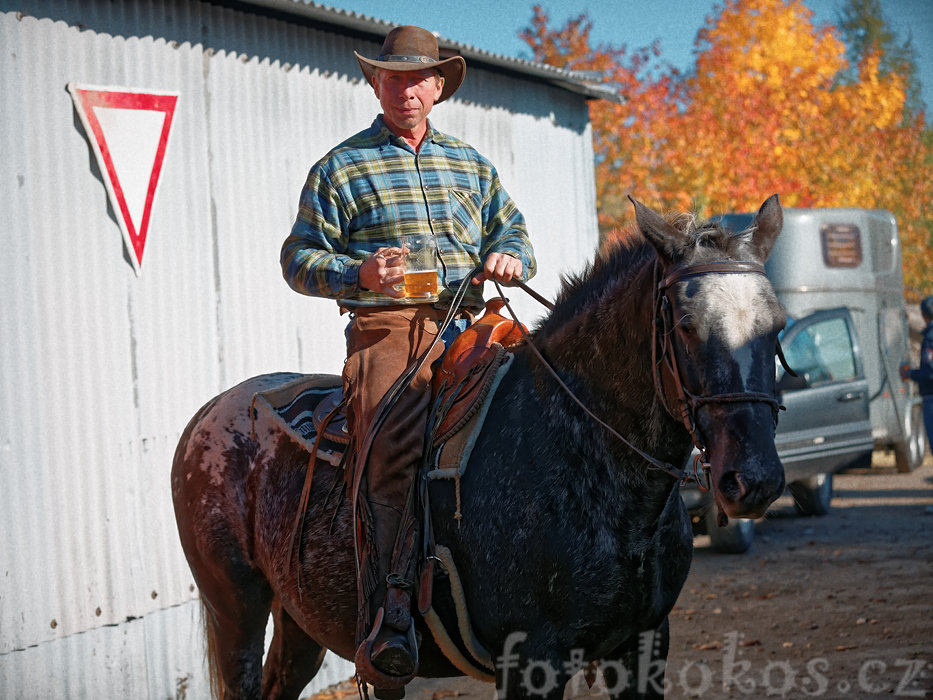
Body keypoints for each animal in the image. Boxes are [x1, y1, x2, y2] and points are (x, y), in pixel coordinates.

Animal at [173, 194, 788, 696]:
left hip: (300, 619)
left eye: (776, 323)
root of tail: (208, 413)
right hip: (236, 612)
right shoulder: (531, 660)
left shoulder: (643, 646)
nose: (753, 479)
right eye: (684, 323)